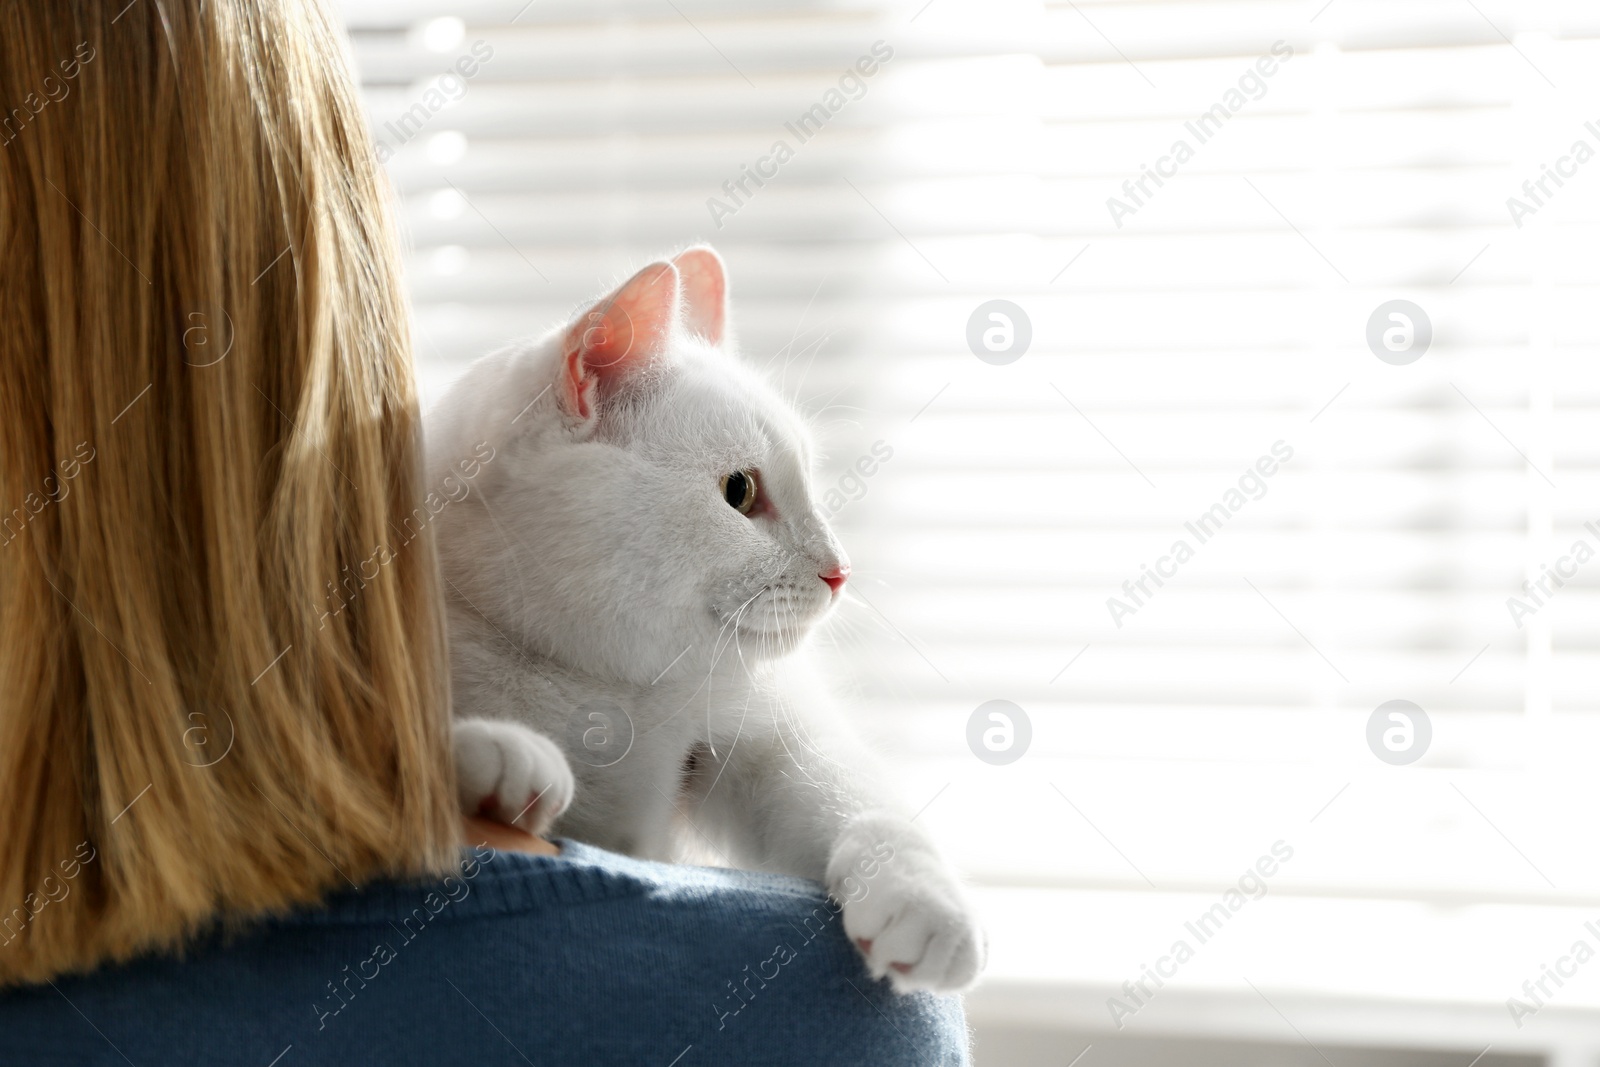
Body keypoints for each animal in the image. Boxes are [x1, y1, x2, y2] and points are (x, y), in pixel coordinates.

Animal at [425, 247, 979, 991]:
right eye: (738, 492)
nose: (840, 570)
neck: (611, 693)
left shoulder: (769, 741)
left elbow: (853, 795)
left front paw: (923, 901)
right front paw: (493, 758)